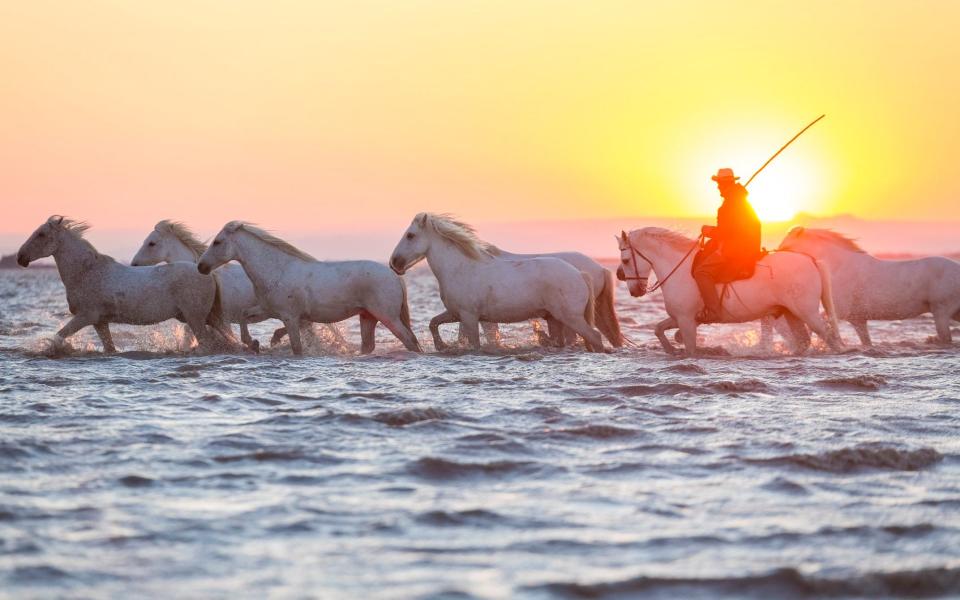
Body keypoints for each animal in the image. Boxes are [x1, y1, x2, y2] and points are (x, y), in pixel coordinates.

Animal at [17, 216, 234, 352]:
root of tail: (209, 273)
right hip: (204, 318)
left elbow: (59, 336)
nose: (21, 257)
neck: (87, 272)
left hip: (195, 318)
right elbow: (109, 348)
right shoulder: (100, 321)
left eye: (41, 234)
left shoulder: (86, 316)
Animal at [195, 221, 420, 354]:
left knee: (409, 339)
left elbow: (297, 347)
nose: (201, 266)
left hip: (388, 317)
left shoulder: (289, 317)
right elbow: (244, 315)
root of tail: (394, 276)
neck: (277, 270)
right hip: (368, 317)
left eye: (217, 242)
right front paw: (254, 343)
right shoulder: (268, 310)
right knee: (369, 346)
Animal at [388, 213, 600, 352]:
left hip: (571, 317)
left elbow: (474, 344)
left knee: (595, 336)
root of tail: (580, 274)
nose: (394, 263)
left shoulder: (469, 316)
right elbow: (433, 323)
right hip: (554, 318)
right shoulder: (456, 313)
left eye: (410, 235)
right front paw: (442, 346)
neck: (459, 268)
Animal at [616, 227, 840, 354]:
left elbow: (690, 349)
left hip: (808, 313)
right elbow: (658, 329)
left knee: (829, 336)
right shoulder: (680, 317)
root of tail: (810, 260)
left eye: (625, 260)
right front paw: (670, 349)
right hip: (792, 314)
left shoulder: (687, 320)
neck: (679, 268)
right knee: (804, 341)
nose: (635, 291)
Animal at [768, 226, 960, 346]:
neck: (839, 266)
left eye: (786, 243)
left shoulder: (839, 311)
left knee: (946, 339)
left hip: (941, 312)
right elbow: (866, 342)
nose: (776, 256)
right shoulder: (858, 320)